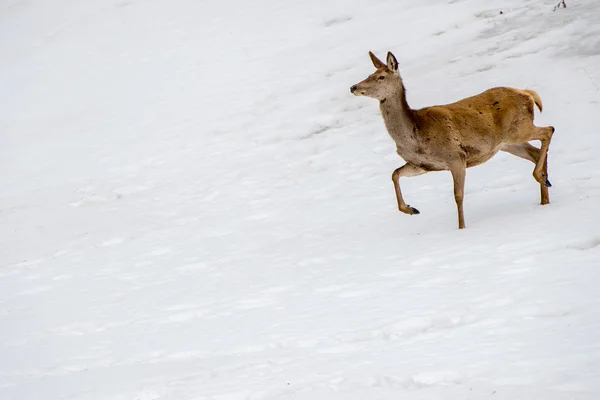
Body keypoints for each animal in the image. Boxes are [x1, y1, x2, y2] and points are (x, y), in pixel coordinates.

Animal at [350, 51, 556, 230]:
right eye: (369, 74)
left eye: (381, 77)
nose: (354, 87)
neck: (415, 135)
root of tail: (528, 94)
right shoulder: (423, 165)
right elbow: (395, 174)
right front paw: (411, 209)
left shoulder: (456, 157)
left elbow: (458, 195)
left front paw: (461, 228)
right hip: (508, 143)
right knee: (536, 152)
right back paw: (545, 195)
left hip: (518, 129)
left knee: (548, 130)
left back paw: (540, 179)